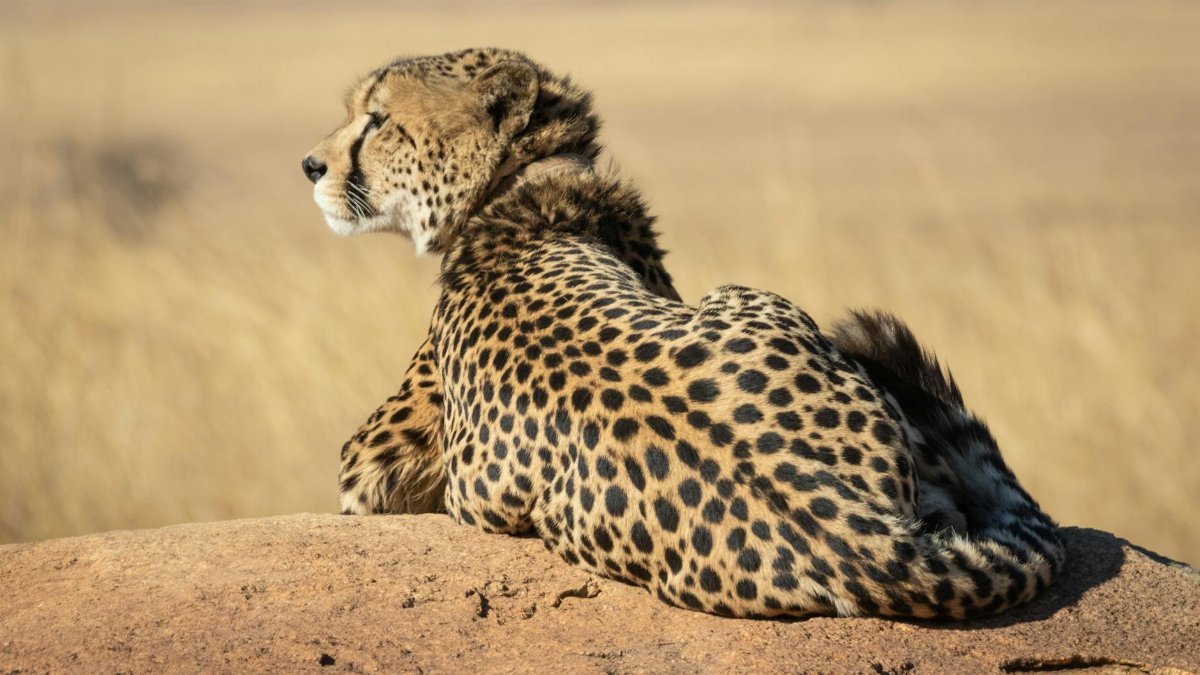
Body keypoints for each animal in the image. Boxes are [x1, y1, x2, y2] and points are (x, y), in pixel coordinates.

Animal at [303, 47, 1065, 619]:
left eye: (376, 121)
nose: (311, 165)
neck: (522, 186)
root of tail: (857, 538)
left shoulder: (371, 461)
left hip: (749, 295)